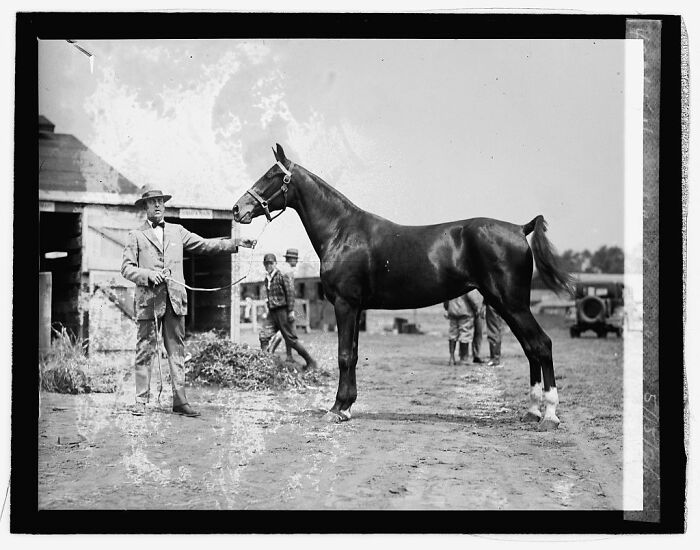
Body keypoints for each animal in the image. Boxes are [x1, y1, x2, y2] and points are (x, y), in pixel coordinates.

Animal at [233, 144, 573, 430]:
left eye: (272, 175)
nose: (238, 209)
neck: (342, 232)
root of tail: (520, 228)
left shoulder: (345, 304)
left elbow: (344, 355)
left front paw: (337, 409)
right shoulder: (357, 308)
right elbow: (353, 354)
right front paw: (347, 406)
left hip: (512, 303)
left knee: (542, 344)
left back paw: (549, 415)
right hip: (504, 303)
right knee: (531, 348)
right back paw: (532, 411)